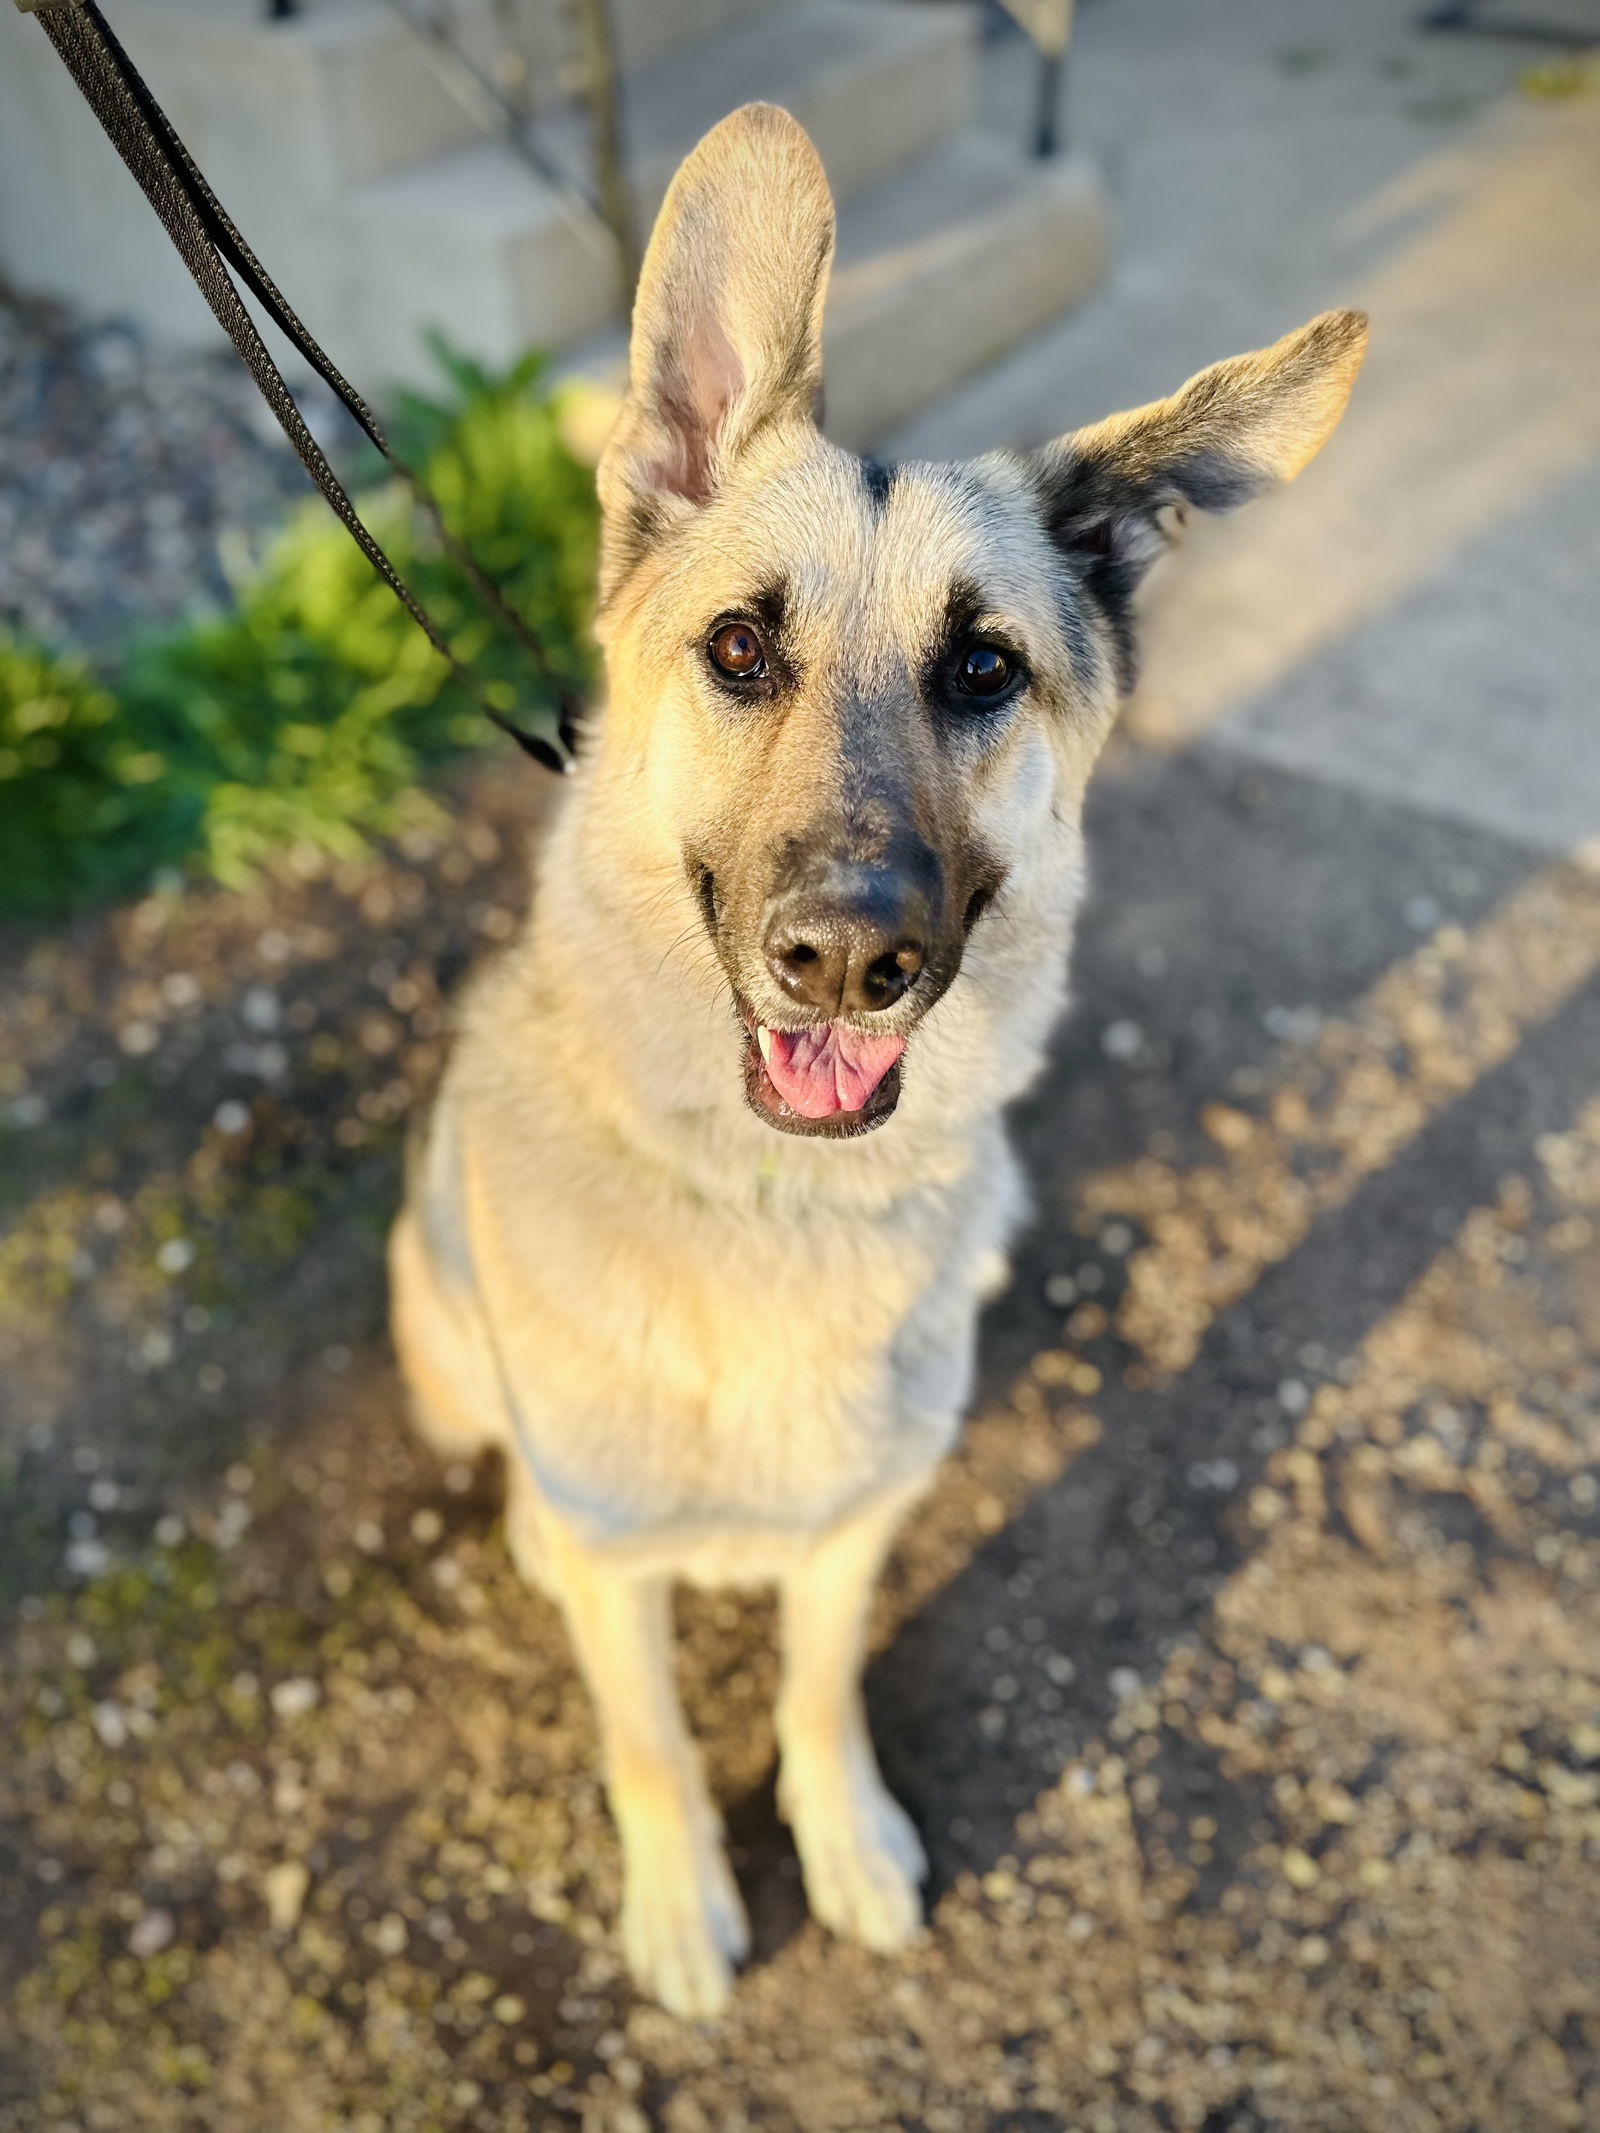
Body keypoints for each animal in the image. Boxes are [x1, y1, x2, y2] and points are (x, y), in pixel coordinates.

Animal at [388, 103, 1365, 2013]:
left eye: (982, 667)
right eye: (738, 648)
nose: (849, 959)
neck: (769, 1202)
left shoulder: (856, 1533)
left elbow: (819, 1685)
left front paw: (841, 1836)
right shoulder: (623, 1568)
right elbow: (650, 1740)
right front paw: (683, 1902)